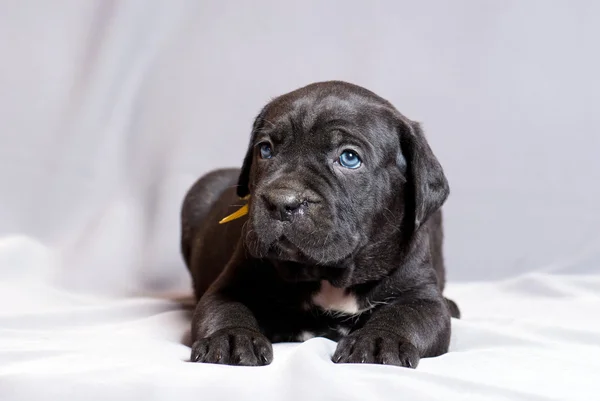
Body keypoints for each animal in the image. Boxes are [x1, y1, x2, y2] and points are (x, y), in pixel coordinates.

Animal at [179, 79, 460, 368]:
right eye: (265, 150)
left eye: (349, 158)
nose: (282, 201)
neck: (328, 275)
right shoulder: (233, 284)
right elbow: (226, 308)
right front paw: (232, 337)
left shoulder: (421, 297)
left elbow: (405, 316)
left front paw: (379, 340)